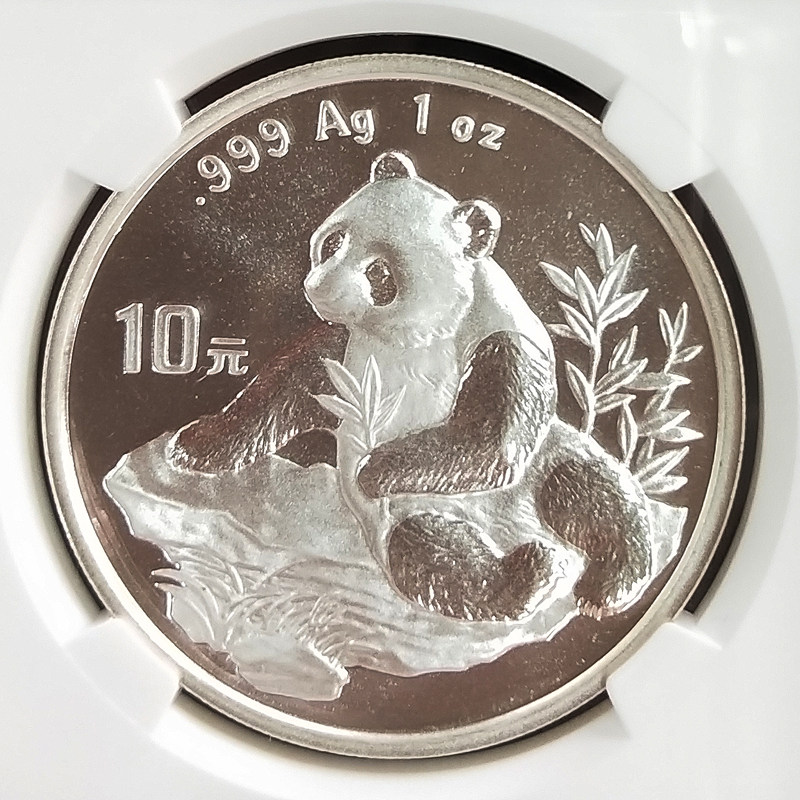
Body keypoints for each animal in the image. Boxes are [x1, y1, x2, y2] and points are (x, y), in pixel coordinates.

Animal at [170, 150, 654, 622]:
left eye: (380, 273)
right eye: (333, 242)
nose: (319, 290)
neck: (414, 335)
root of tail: (514, 526)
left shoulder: (501, 341)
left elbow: (492, 441)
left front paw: (372, 470)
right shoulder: (349, 357)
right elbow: (281, 392)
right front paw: (193, 444)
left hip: (549, 458)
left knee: (597, 495)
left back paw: (595, 583)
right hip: (417, 511)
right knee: (434, 552)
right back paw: (535, 572)